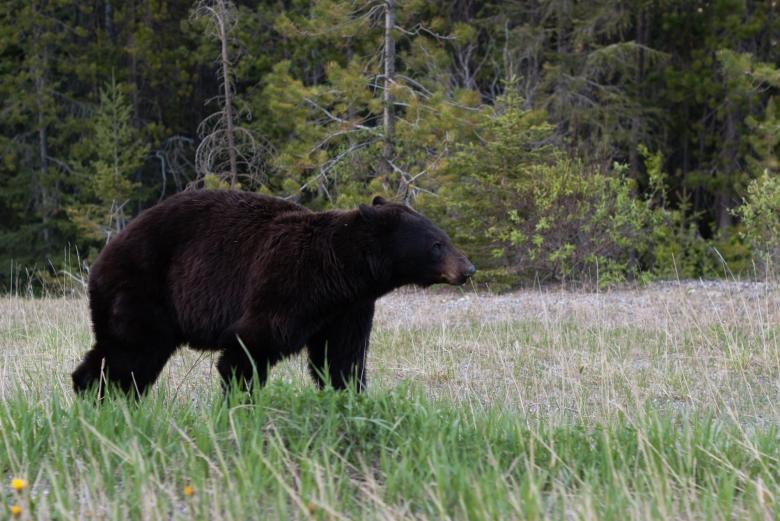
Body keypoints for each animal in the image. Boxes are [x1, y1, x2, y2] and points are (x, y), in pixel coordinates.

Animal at [72, 190, 475, 396]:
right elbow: (250, 346)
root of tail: (104, 256)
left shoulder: (350, 309)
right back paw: (98, 396)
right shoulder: (285, 284)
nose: (467, 268)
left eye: (444, 237)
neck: (339, 272)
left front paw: (349, 398)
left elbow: (341, 358)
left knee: (127, 357)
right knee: (130, 352)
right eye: (437, 244)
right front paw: (240, 402)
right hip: (142, 289)